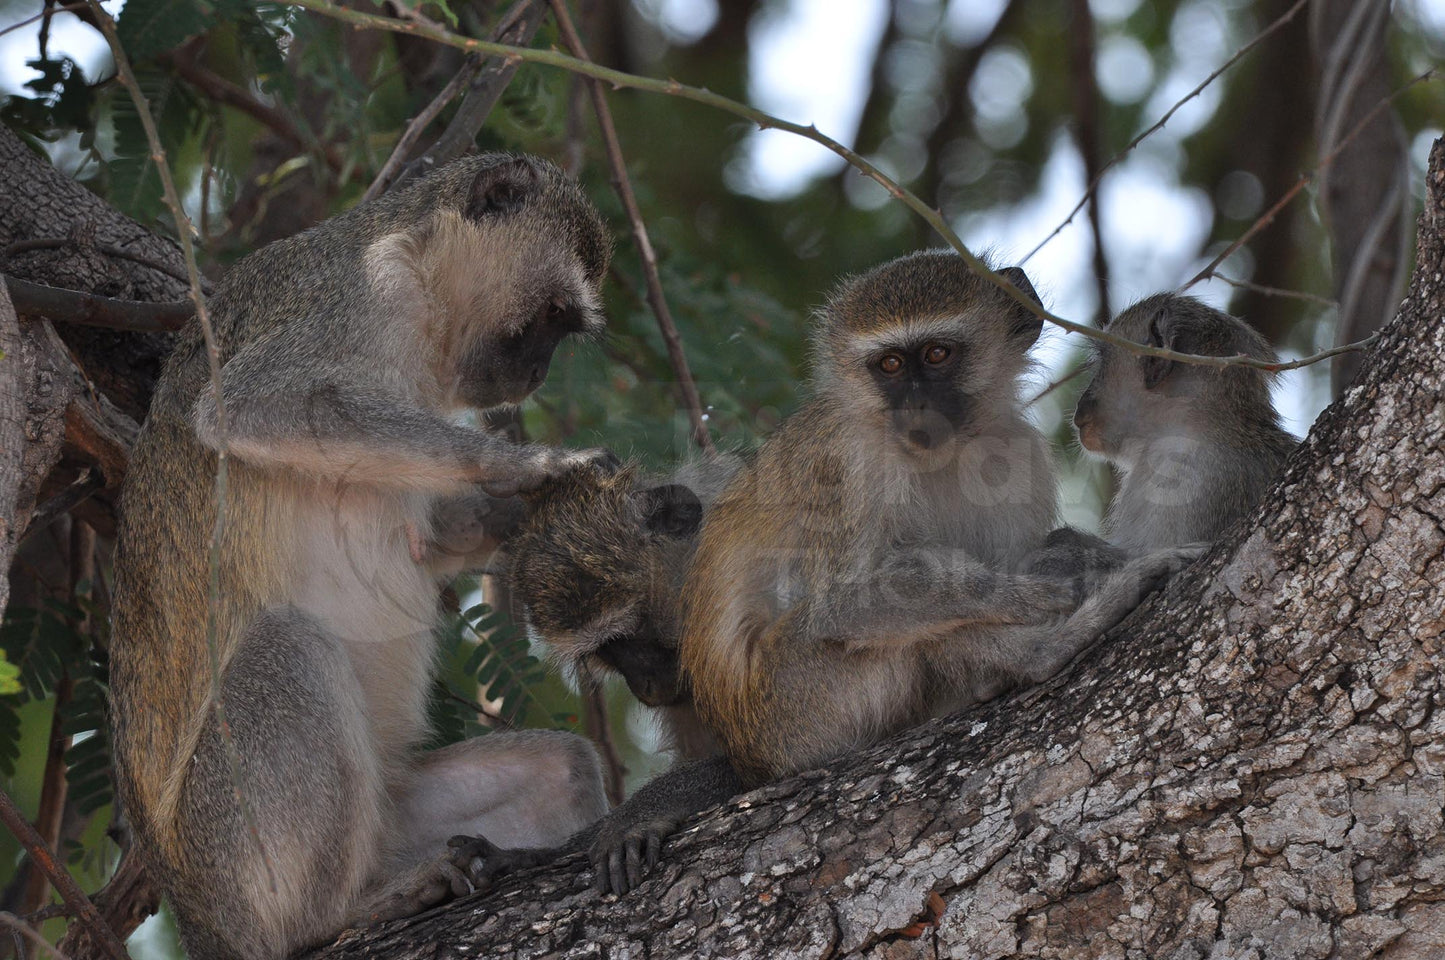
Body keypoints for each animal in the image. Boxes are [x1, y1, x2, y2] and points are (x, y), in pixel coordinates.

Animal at [115, 153, 624, 954]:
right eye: (549, 317)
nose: (539, 373)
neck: (414, 262)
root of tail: (198, 918)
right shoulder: (360, 298)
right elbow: (250, 408)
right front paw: (539, 466)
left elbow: (428, 540)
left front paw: (524, 511)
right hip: (229, 842)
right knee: (288, 648)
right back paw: (336, 915)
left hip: (392, 813)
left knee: (560, 767)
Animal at [682, 251, 1202, 792]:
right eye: (890, 364)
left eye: (936, 354)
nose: (917, 406)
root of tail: (749, 758)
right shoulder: (847, 467)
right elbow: (842, 606)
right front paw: (1056, 583)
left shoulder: (1020, 453)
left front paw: (1070, 555)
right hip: (795, 702)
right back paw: (1048, 649)